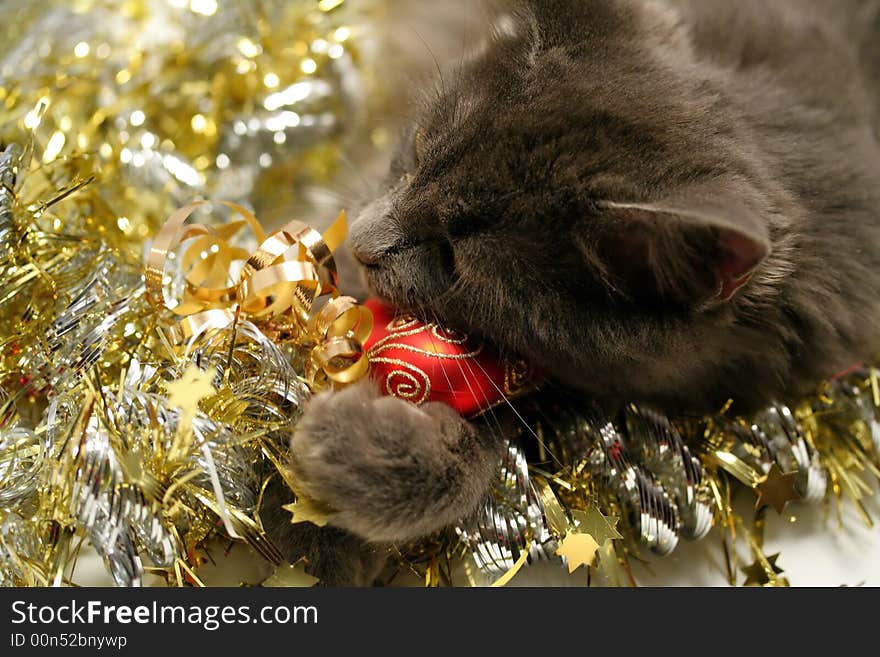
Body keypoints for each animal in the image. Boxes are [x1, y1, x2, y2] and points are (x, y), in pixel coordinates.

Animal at [264, 1, 880, 584]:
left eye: (453, 259)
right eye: (415, 152)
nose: (365, 246)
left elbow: (504, 414)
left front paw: (341, 480)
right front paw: (305, 523)